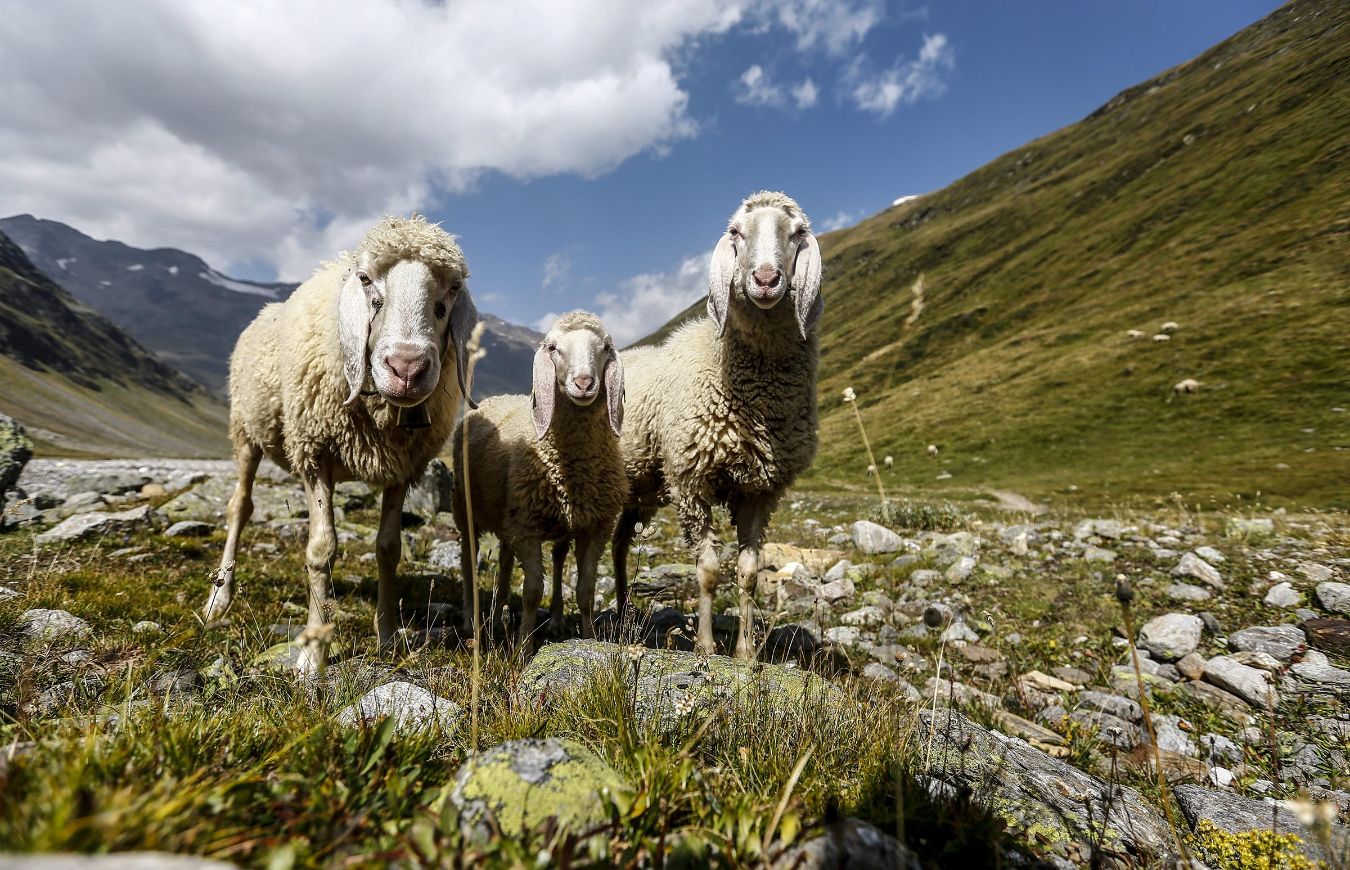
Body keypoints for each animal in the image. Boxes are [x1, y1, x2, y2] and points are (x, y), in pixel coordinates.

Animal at [203, 215, 478, 674]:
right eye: (365, 278)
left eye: (454, 287)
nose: (407, 368)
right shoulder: (315, 453)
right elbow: (321, 550)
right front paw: (313, 654)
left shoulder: (403, 465)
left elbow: (388, 548)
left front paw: (387, 636)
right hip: (245, 430)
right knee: (239, 508)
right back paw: (219, 598)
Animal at [452, 311, 627, 651]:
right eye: (553, 347)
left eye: (605, 347)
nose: (583, 383)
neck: (575, 466)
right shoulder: (527, 527)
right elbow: (532, 592)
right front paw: (523, 648)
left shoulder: (595, 526)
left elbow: (585, 593)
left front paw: (589, 640)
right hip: (465, 510)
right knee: (469, 561)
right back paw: (471, 619)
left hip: (510, 520)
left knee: (506, 563)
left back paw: (498, 618)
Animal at [611, 190, 823, 658]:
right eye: (736, 232)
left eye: (797, 232)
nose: (765, 278)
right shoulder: (691, 482)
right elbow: (708, 570)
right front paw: (707, 646)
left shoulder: (761, 490)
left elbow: (748, 571)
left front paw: (745, 652)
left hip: (642, 489)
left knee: (618, 545)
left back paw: (622, 612)